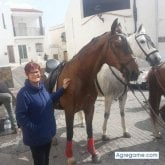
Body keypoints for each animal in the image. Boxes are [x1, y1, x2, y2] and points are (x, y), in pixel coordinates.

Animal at [50, 19, 139, 164]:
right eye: (117, 44)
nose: (135, 72)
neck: (79, 76)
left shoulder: (89, 107)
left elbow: (90, 130)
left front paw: (93, 153)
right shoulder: (69, 110)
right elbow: (70, 132)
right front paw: (70, 156)